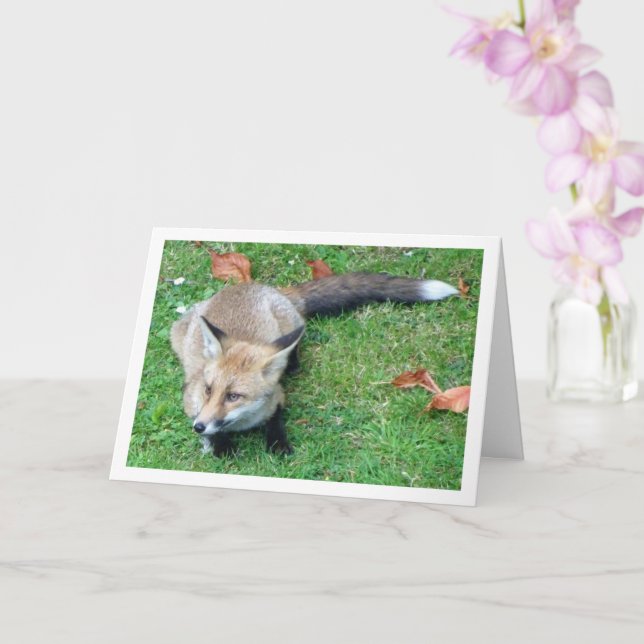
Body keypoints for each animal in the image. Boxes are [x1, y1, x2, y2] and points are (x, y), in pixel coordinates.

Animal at [170, 271, 458, 457]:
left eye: (233, 396)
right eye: (208, 389)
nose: (199, 427)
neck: (242, 423)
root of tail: (269, 288)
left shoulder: (278, 396)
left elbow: (275, 420)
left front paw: (277, 444)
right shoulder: (191, 402)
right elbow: (212, 430)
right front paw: (220, 445)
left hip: (289, 328)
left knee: (296, 341)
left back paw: (292, 362)